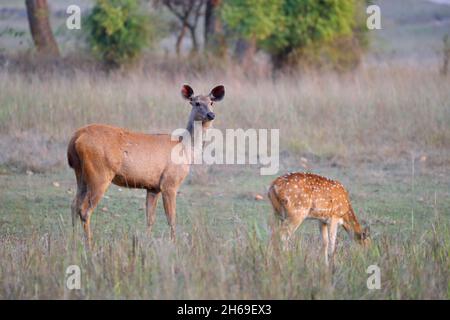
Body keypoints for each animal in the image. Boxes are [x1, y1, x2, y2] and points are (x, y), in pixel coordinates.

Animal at [67, 84, 225, 244]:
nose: (211, 115)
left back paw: (73, 241)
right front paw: (174, 243)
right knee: (84, 210)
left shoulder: (153, 187)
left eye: (212, 102)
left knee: (74, 205)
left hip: (81, 174)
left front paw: (147, 243)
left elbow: (150, 218)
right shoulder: (170, 183)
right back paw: (89, 244)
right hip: (100, 174)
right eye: (196, 103)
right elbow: (171, 218)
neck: (185, 149)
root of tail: (76, 137)